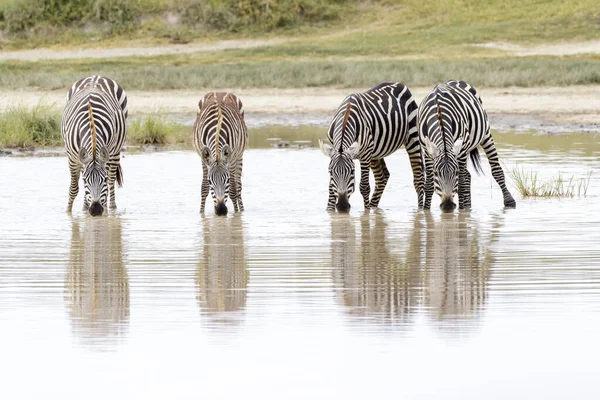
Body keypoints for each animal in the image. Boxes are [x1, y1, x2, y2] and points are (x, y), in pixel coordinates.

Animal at [62, 76, 127, 217]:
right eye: (85, 180)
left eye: (104, 179)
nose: (96, 210)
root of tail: (96, 76)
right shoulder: (72, 157)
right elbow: (74, 188)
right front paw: (68, 213)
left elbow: (108, 186)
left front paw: (106, 215)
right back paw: (84, 208)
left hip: (115, 151)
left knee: (112, 181)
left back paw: (112, 209)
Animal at [318, 81, 422, 212]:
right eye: (330, 172)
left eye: (352, 171)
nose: (342, 206)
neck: (346, 117)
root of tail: (399, 84)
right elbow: (331, 189)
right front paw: (330, 211)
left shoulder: (365, 154)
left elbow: (364, 187)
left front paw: (366, 213)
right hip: (375, 152)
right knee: (383, 177)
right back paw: (374, 208)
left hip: (412, 137)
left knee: (418, 179)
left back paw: (421, 211)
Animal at [418, 79, 516, 214]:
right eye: (436, 173)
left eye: (456, 172)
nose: (448, 206)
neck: (439, 113)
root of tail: (454, 80)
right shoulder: (427, 151)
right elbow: (429, 185)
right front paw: (425, 211)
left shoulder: (462, 150)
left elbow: (461, 184)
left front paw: (462, 214)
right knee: (468, 176)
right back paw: (468, 206)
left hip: (485, 134)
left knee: (496, 170)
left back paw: (509, 202)